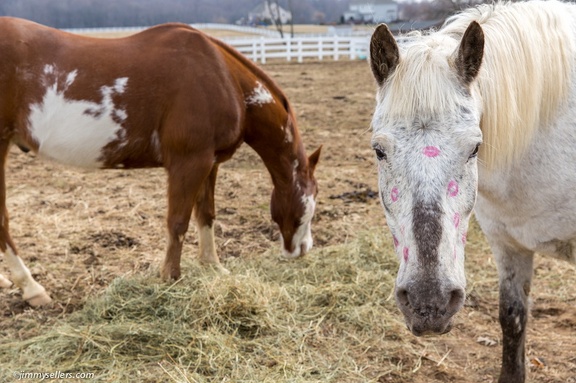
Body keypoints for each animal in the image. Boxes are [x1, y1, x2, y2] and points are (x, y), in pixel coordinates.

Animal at [0, 17, 322, 306]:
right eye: (311, 200)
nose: (304, 248)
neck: (223, 77)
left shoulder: (210, 163)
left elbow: (206, 214)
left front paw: (212, 266)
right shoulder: (189, 162)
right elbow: (178, 222)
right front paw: (171, 277)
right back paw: (32, 289)